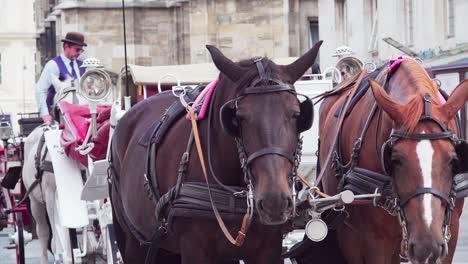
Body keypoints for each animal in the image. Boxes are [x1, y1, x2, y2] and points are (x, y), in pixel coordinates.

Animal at [109, 41, 322, 264]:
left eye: (297, 114)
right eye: (238, 118)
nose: (274, 201)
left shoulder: (268, 249)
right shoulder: (194, 249)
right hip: (135, 241)